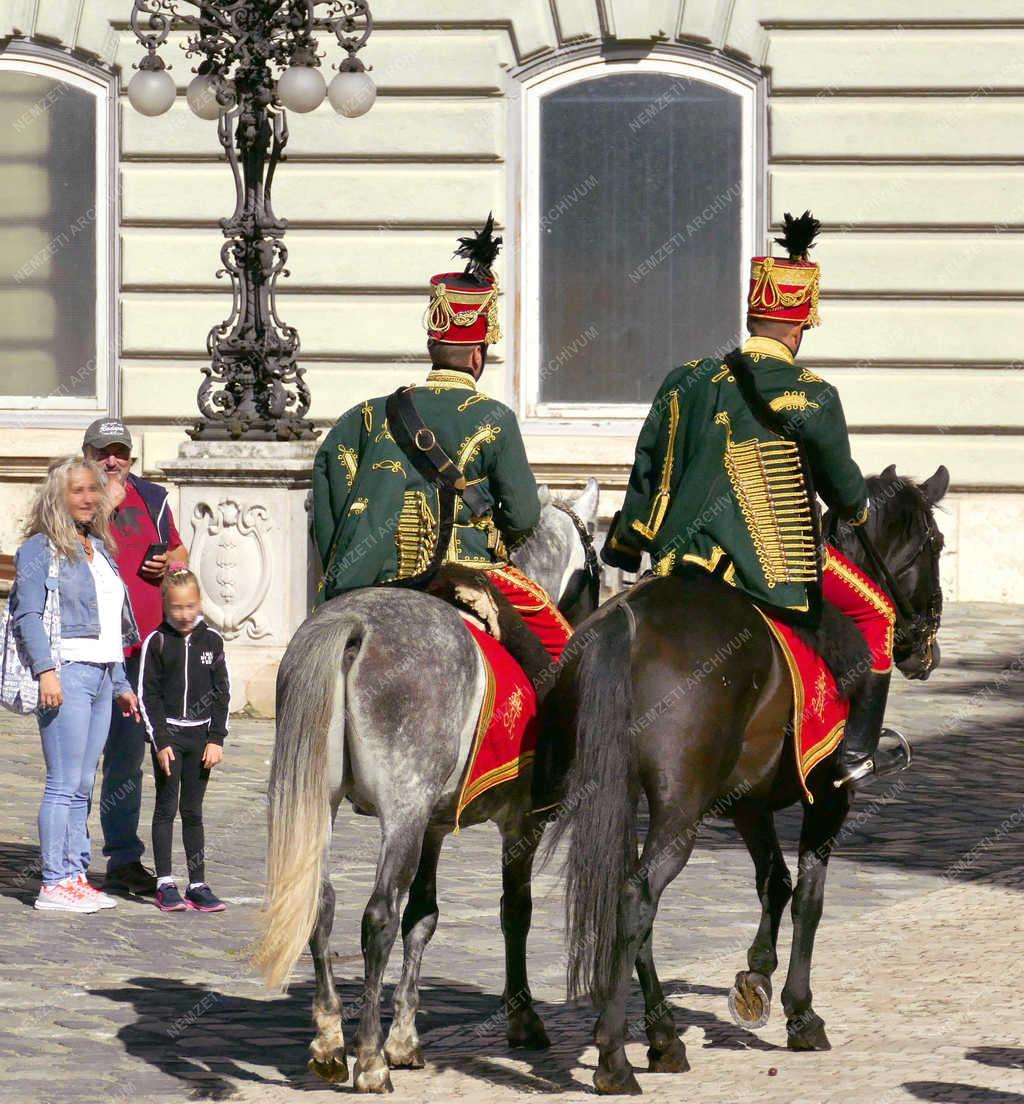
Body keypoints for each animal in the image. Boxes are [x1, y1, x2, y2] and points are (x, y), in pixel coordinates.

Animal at [252, 479, 600, 1090]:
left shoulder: (435, 827)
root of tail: (356, 624)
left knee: (322, 902)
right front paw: (522, 1018)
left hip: (328, 803)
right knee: (377, 916)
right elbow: (514, 912)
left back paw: (330, 1041)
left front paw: (405, 1039)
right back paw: (366, 1060)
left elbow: (425, 918)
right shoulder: (519, 825)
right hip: (402, 814)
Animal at [540, 465, 948, 1095]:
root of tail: (625, 622)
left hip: (620, 797)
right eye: (936, 545)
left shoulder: (746, 803)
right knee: (639, 895)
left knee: (629, 899)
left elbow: (773, 881)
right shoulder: (828, 798)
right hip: (680, 811)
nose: (925, 647)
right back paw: (615, 1058)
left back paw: (663, 1038)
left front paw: (755, 977)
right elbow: (809, 896)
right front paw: (801, 1013)